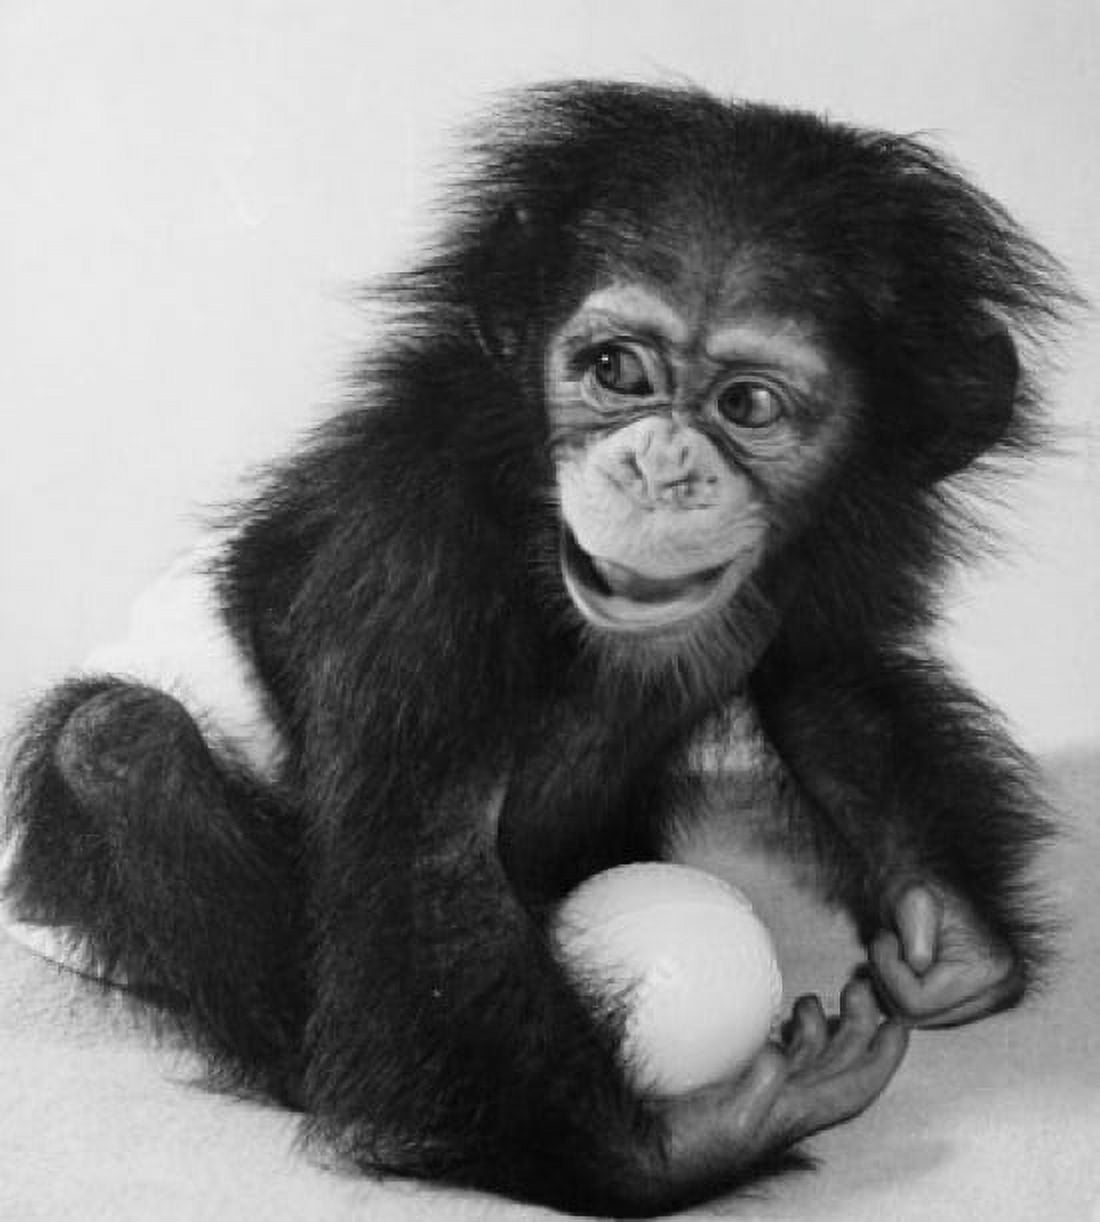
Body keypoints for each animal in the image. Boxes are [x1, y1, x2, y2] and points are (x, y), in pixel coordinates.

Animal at [2, 81, 1074, 1216]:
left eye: (745, 403)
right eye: (615, 369)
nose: (656, 464)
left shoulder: (825, 553)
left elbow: (825, 684)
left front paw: (946, 935)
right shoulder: (404, 566)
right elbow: (431, 863)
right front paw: (697, 1138)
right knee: (118, 743)